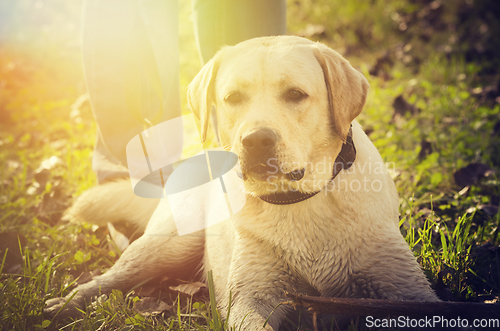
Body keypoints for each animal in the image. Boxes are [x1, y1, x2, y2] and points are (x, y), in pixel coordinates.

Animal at [46, 35, 438, 330]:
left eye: (296, 94)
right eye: (233, 98)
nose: (256, 141)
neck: (299, 200)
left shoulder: (408, 292)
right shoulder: (251, 297)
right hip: (166, 244)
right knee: (107, 279)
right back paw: (62, 304)